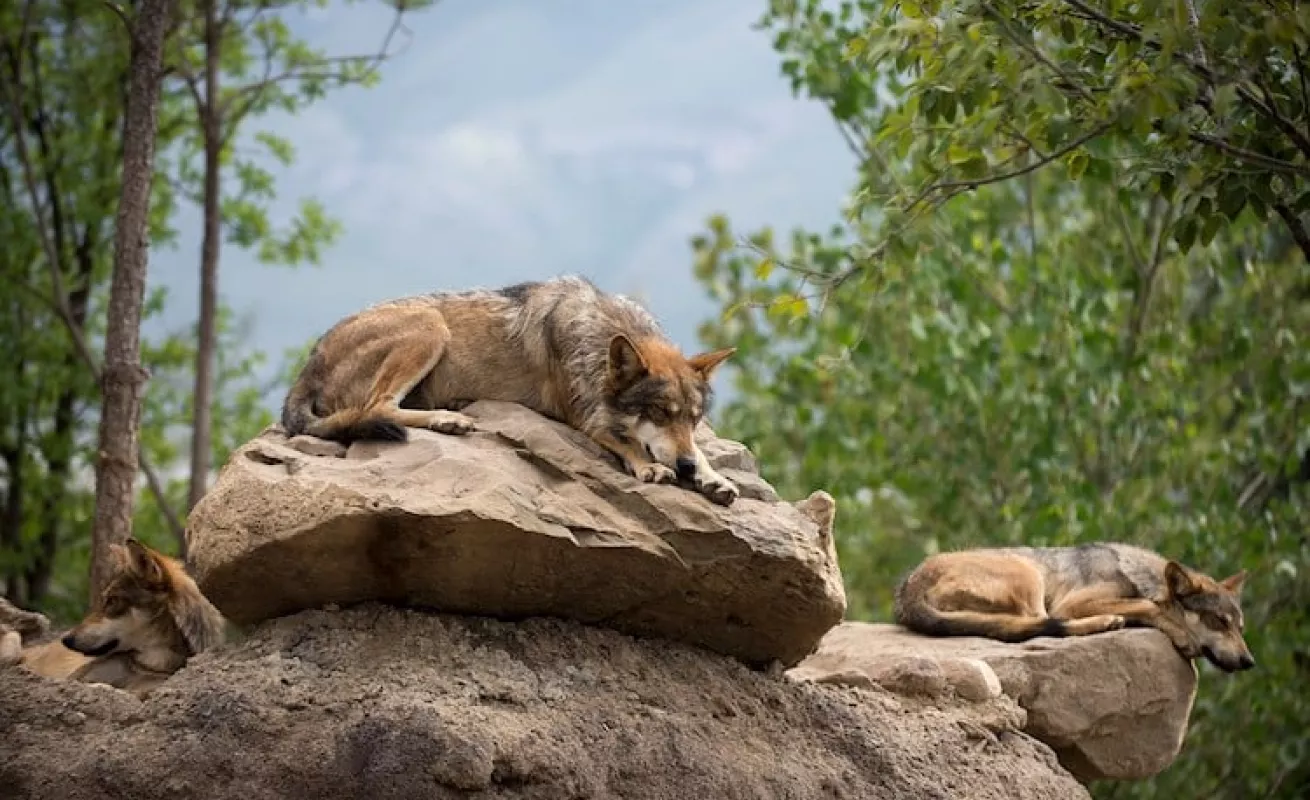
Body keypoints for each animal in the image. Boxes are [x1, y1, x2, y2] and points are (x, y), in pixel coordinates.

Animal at [280, 276, 741, 505]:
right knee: (379, 407)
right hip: (430, 325)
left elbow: (699, 450)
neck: (600, 326)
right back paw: (448, 419)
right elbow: (625, 441)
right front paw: (650, 468)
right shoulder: (583, 415)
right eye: (659, 413)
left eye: (693, 419)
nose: (684, 469)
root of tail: (310, 360)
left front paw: (710, 475)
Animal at [893, 542, 1256, 673]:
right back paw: (1107, 621)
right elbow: (1146, 605)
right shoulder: (1072, 604)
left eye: (1239, 628)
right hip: (1029, 575)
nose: (1249, 662)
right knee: (1042, 624)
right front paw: (1182, 636)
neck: (1136, 574)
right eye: (1219, 622)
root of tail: (910, 586)